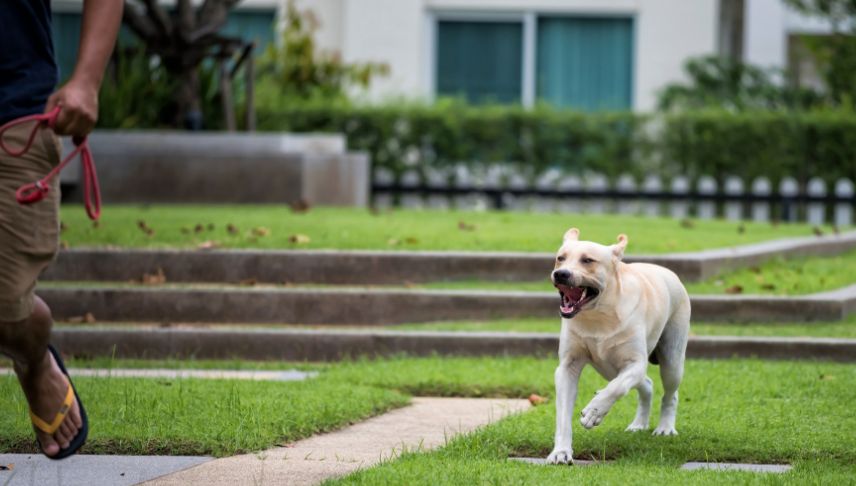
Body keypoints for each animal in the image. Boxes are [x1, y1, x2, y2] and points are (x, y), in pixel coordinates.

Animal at [548, 228, 688, 464]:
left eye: (587, 260)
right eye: (561, 258)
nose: (561, 274)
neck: (598, 315)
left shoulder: (635, 363)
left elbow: (616, 388)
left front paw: (594, 411)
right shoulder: (568, 366)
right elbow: (563, 413)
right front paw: (561, 452)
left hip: (672, 357)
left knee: (669, 392)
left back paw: (665, 428)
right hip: (609, 369)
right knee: (646, 384)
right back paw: (639, 423)